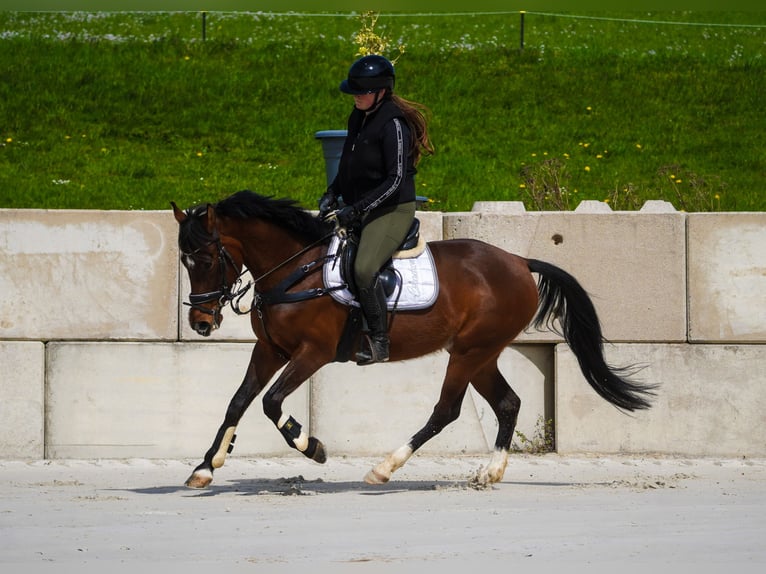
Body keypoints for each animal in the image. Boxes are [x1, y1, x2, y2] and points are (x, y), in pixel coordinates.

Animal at [171, 190, 656, 489]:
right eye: (184, 261)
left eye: (207, 259)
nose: (200, 322)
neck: (294, 271)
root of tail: (519, 261)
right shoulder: (270, 349)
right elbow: (238, 401)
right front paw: (205, 466)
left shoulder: (314, 353)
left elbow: (271, 403)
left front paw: (313, 447)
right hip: (480, 353)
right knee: (507, 403)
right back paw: (490, 471)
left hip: (470, 352)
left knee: (447, 410)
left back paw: (384, 468)